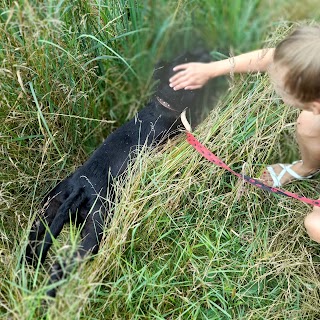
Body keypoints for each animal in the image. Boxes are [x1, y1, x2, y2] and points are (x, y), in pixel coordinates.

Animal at [25, 50, 212, 298]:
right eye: (190, 59)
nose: (206, 51)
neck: (162, 105)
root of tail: (80, 187)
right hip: (95, 229)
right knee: (61, 266)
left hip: (45, 214)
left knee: (31, 251)